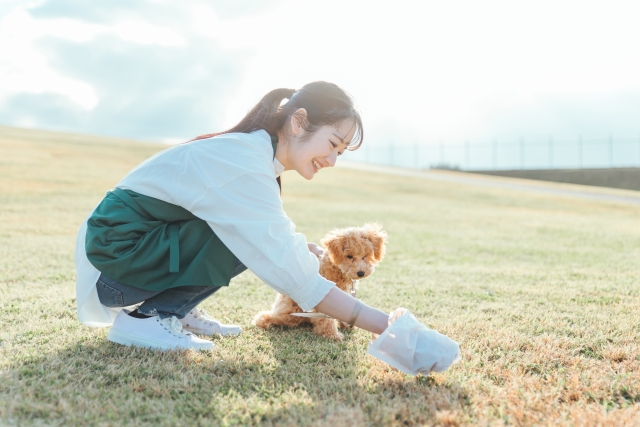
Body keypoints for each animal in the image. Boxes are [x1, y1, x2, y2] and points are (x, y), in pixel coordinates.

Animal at [252, 224, 388, 342]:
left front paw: (344, 325)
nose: (361, 273)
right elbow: (326, 320)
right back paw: (263, 319)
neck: (336, 268)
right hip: (291, 313)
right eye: (349, 256)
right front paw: (332, 335)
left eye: (366, 255)